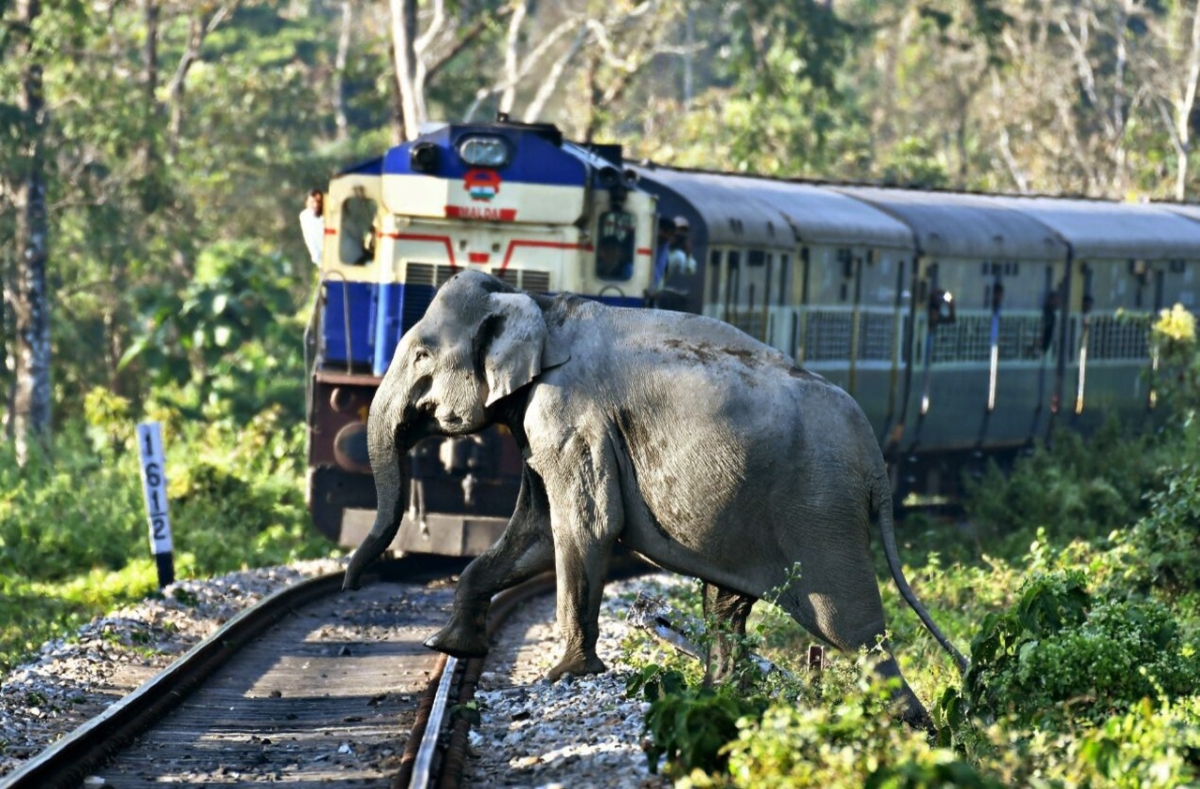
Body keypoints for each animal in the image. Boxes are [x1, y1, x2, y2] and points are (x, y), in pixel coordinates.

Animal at [343, 267, 969, 729]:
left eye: (421, 356)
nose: (349, 584)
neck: (539, 304)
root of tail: (875, 461)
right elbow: (537, 533)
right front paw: (450, 647)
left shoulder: (570, 416)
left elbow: (585, 528)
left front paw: (564, 677)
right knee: (727, 603)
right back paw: (721, 694)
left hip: (821, 512)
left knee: (853, 627)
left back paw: (911, 729)